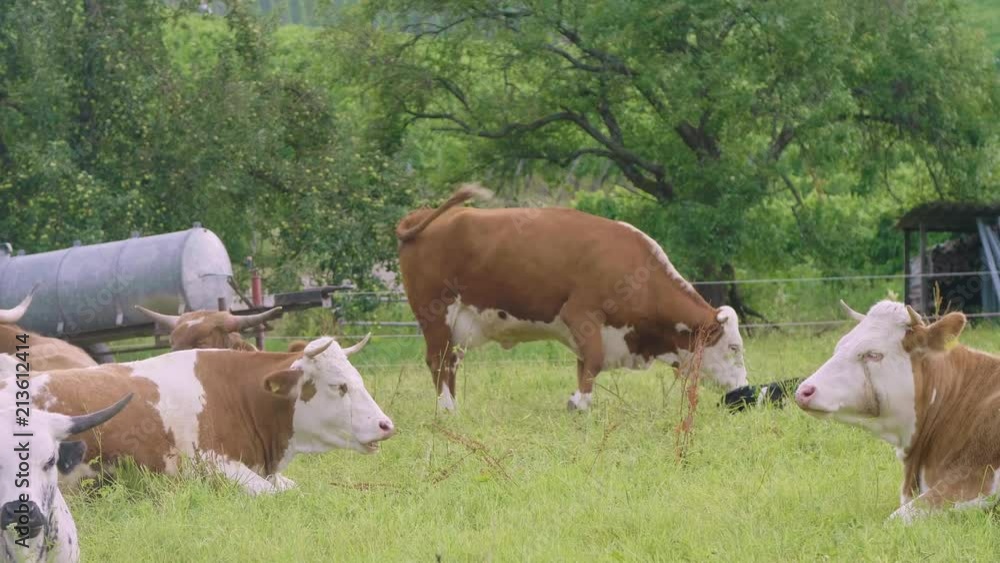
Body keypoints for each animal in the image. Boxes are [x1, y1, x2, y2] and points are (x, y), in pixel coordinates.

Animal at [396, 184, 748, 411]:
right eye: (733, 347)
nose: (745, 390)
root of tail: (426, 215)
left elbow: (584, 365)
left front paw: (583, 402)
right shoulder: (581, 313)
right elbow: (593, 360)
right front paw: (578, 404)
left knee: (450, 362)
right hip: (435, 313)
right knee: (438, 361)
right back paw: (447, 409)